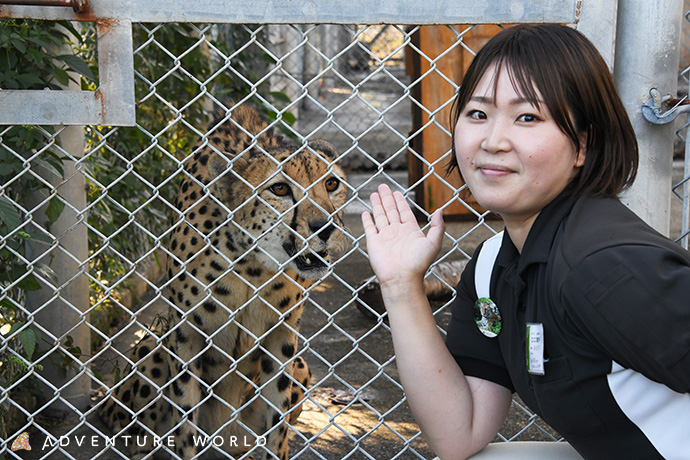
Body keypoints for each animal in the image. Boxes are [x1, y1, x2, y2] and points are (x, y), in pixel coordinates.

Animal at [97, 104, 346, 460]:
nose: (324, 227)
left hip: (299, 367)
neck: (253, 264)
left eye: (331, 184)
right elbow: (185, 419)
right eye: (280, 189)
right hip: (154, 348)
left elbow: (278, 424)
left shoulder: (282, 338)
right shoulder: (185, 334)